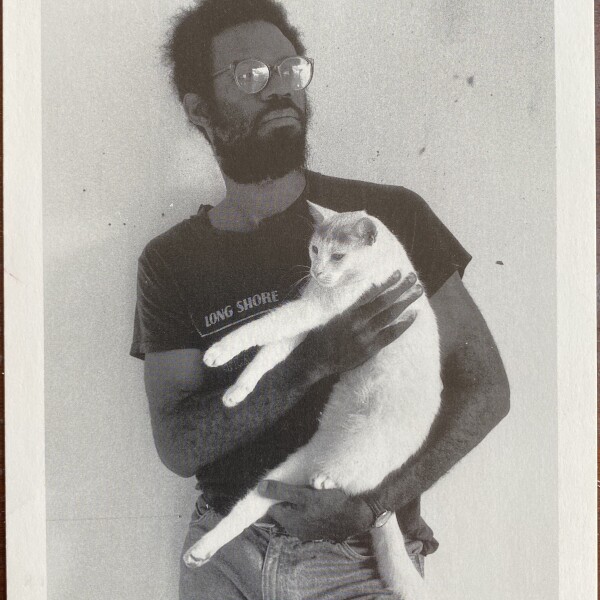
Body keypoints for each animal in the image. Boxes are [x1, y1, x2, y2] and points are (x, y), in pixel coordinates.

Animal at [183, 201, 442, 600]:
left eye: (338, 256)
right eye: (315, 249)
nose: (317, 272)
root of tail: (324, 452)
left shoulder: (317, 310)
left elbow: (261, 328)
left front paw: (220, 351)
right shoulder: (310, 316)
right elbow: (268, 352)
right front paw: (238, 390)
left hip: (373, 439)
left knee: (357, 475)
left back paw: (326, 479)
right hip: (280, 474)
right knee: (246, 509)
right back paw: (200, 551)